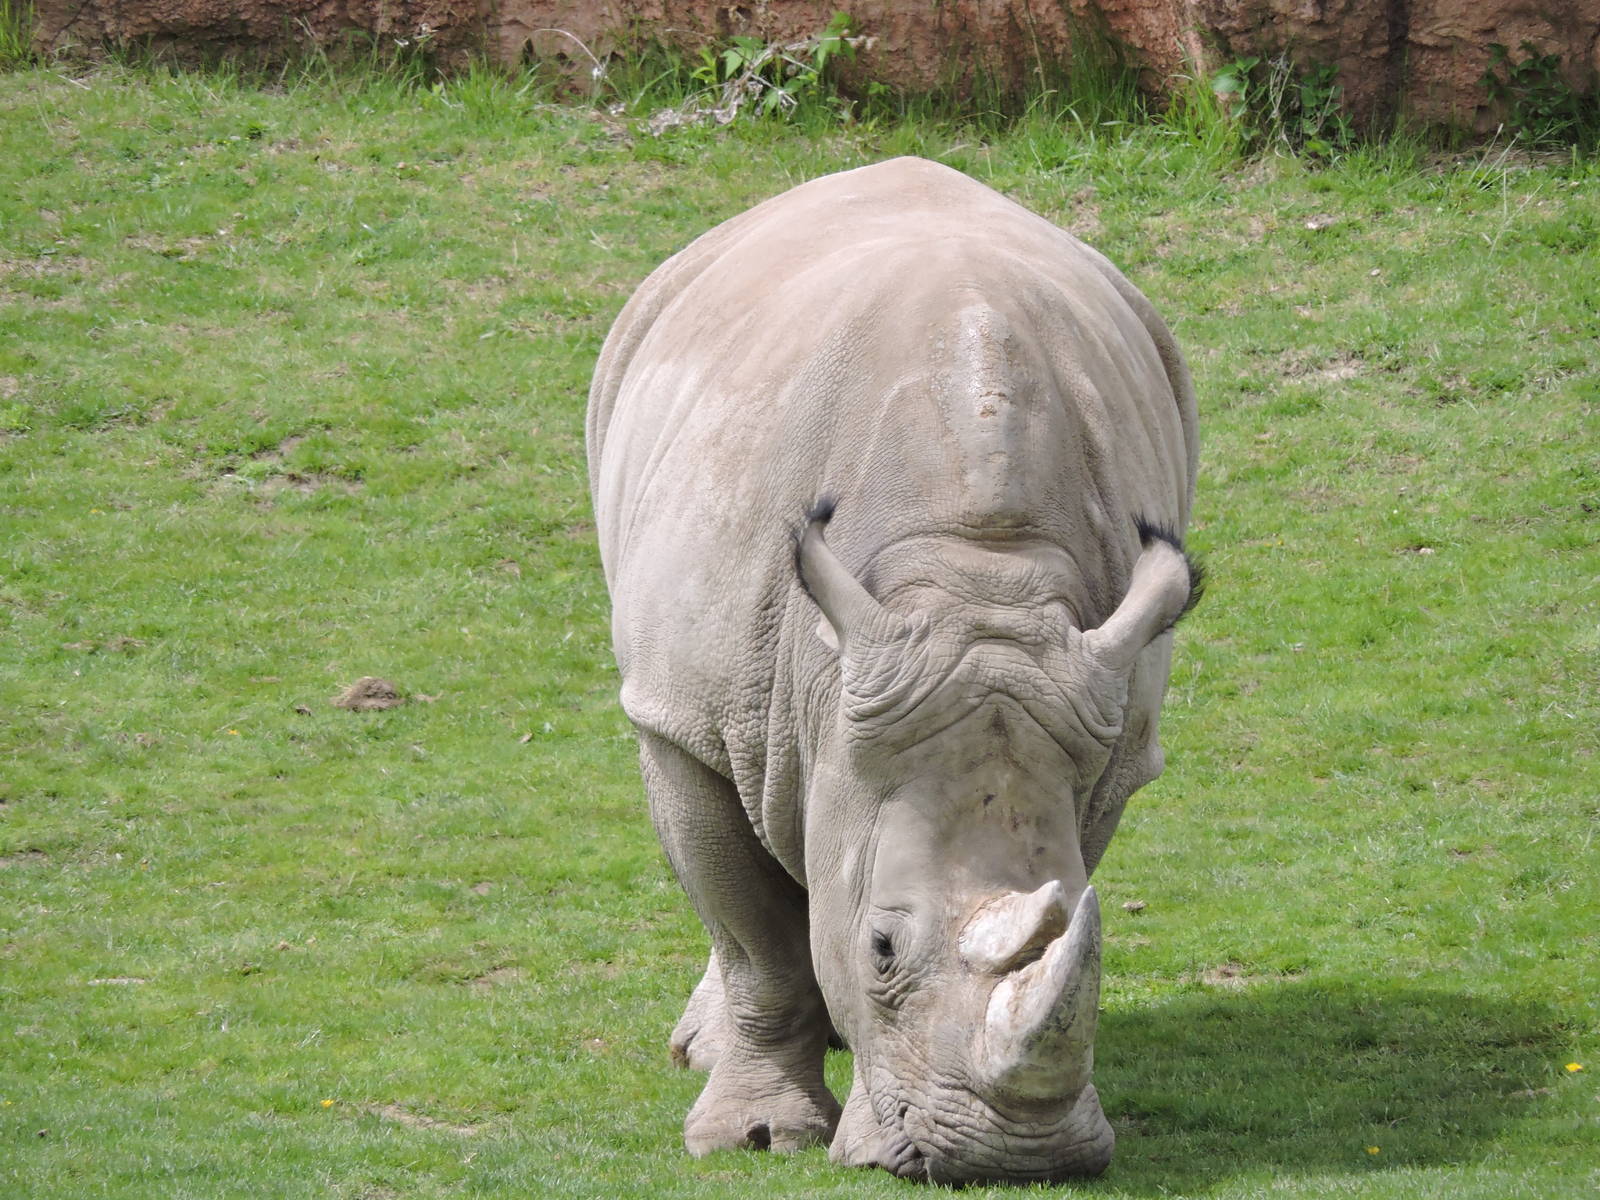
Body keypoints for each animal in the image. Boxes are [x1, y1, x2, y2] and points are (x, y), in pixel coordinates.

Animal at [586, 156, 1201, 1183]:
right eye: (879, 946)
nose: (1011, 1160)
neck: (972, 580)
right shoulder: (687, 718)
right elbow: (753, 939)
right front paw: (753, 1138)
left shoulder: (1103, 718)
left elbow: (1062, 880)